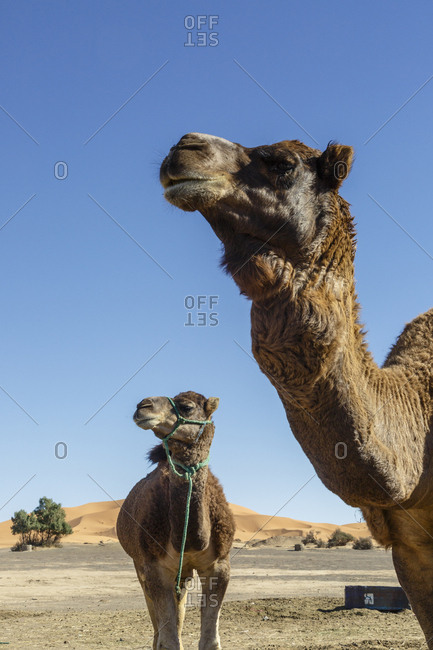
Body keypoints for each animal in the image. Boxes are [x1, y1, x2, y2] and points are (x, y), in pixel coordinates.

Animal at [116, 391, 235, 650]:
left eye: (187, 407)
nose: (143, 406)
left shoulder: (219, 565)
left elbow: (210, 640)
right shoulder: (153, 566)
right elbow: (169, 639)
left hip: (184, 570)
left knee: (179, 600)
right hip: (140, 563)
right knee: (157, 618)